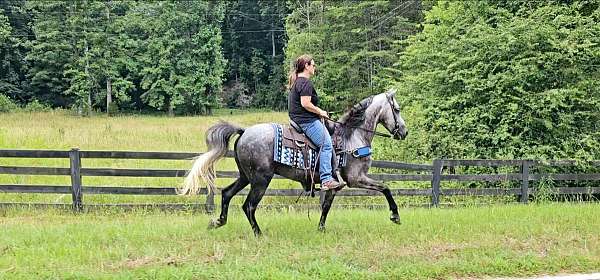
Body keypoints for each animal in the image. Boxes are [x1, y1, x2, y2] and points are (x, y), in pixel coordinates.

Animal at [180, 88, 408, 235]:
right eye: (397, 109)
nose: (404, 132)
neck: (352, 136)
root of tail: (244, 132)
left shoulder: (335, 185)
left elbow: (326, 206)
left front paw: (320, 229)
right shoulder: (355, 178)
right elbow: (386, 188)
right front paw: (395, 216)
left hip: (246, 176)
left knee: (227, 193)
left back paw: (218, 221)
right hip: (261, 180)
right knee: (249, 206)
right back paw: (259, 233)